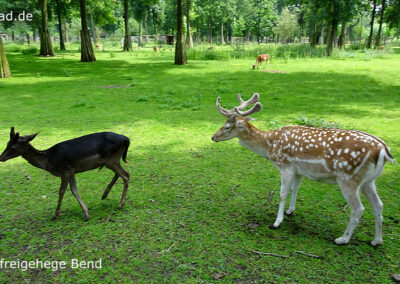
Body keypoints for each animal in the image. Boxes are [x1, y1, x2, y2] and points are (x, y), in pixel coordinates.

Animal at [0, 127, 130, 221]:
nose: (1, 157)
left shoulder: (64, 171)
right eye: (7, 143)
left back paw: (120, 204)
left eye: (13, 147)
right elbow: (74, 190)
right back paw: (104, 194)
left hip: (111, 159)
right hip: (111, 160)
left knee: (126, 175)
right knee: (119, 174)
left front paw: (54, 215)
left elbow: (62, 191)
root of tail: (126, 139)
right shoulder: (71, 171)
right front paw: (86, 213)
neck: (48, 160)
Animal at [211, 94, 396, 245]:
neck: (270, 147)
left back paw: (342, 239)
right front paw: (290, 211)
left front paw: (277, 222)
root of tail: (383, 150)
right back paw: (376, 241)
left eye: (227, 127)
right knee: (378, 205)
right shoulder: (298, 170)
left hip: (348, 178)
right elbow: (295, 190)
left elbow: (282, 193)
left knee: (359, 208)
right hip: (369, 181)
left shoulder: (285, 166)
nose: (213, 137)